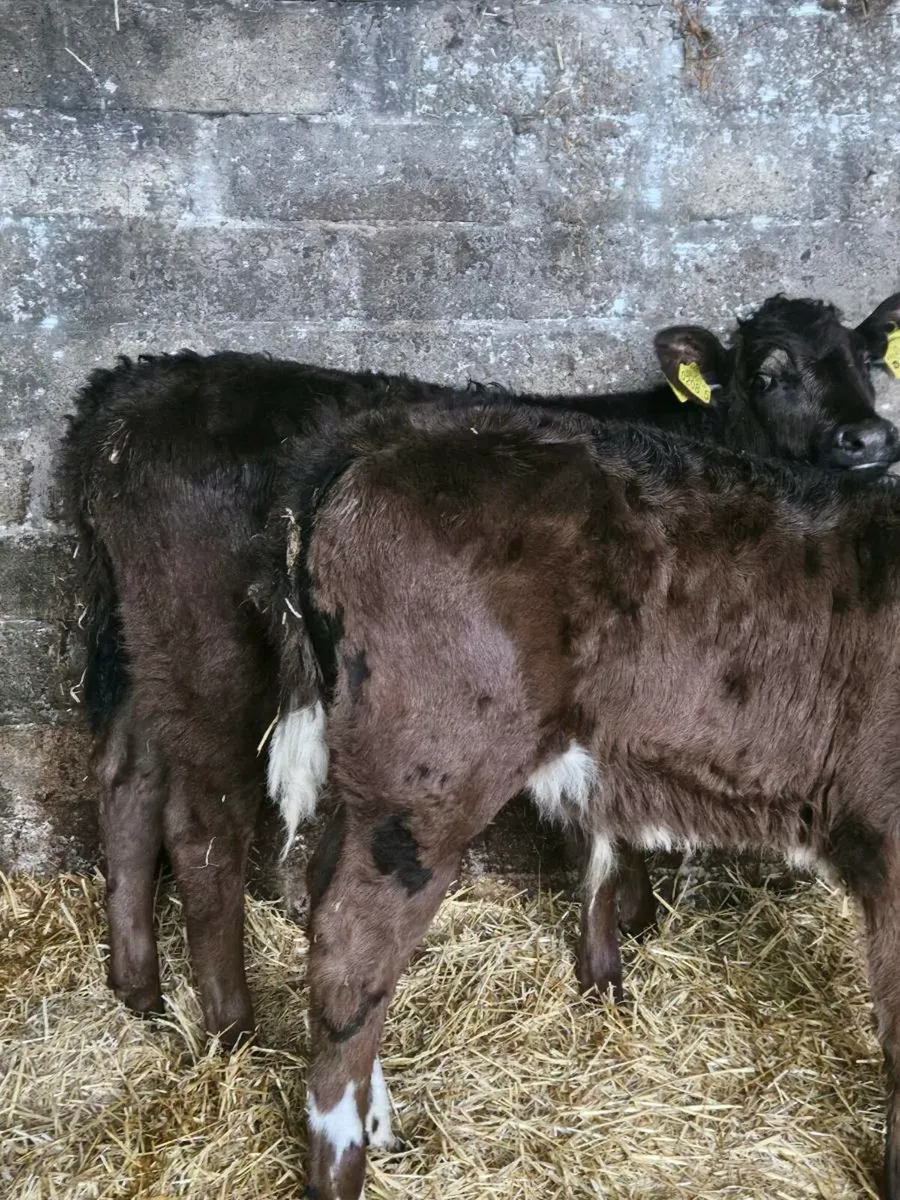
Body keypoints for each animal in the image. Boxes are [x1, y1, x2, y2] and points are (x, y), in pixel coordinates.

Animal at [57, 293, 900, 1049]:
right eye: (768, 373)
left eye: (868, 361)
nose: (867, 437)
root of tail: (128, 388)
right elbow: (597, 834)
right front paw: (616, 947)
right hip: (213, 653)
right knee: (207, 825)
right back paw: (232, 1028)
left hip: (145, 644)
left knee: (126, 779)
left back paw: (138, 988)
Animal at [258, 384, 900, 1199]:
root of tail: (383, 433)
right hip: (430, 769)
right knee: (350, 952)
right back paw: (343, 1163)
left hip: (374, 769)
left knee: (326, 896)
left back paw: (381, 1122)